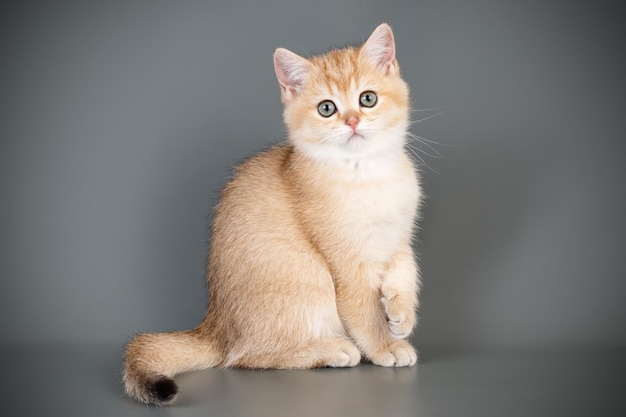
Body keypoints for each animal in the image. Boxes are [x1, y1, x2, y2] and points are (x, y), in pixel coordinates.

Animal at [122, 22, 422, 404]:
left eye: (367, 98)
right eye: (327, 108)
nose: (353, 121)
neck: (366, 172)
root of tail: (215, 328)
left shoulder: (398, 238)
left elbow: (406, 273)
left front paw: (401, 316)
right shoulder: (347, 265)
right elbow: (364, 312)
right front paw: (385, 347)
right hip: (306, 277)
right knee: (244, 357)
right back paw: (331, 350)